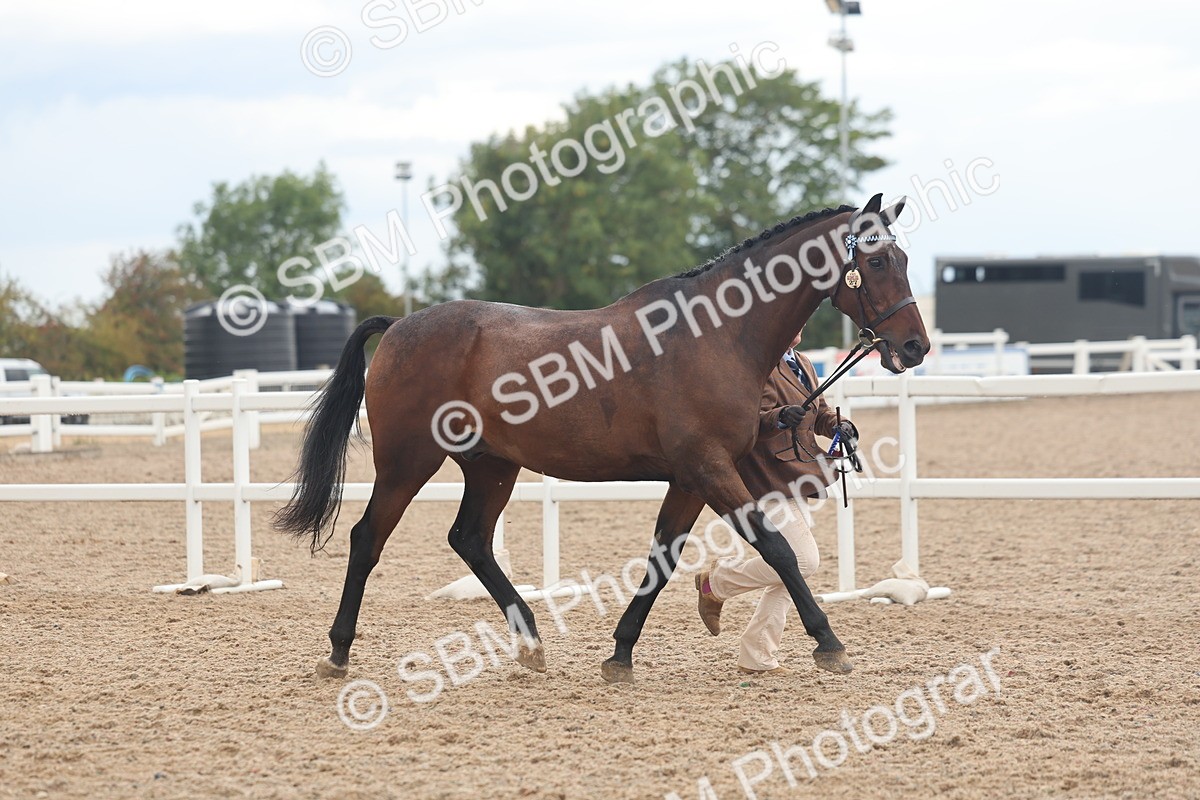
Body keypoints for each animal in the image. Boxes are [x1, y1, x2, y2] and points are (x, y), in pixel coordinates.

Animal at [274, 193, 929, 684]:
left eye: (902, 257)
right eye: (876, 262)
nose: (915, 346)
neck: (718, 334)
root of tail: (400, 325)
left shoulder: (690, 477)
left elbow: (663, 560)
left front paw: (620, 653)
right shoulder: (711, 468)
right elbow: (778, 551)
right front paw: (829, 642)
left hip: (491, 466)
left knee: (471, 540)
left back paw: (531, 643)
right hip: (409, 462)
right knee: (367, 539)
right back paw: (338, 652)